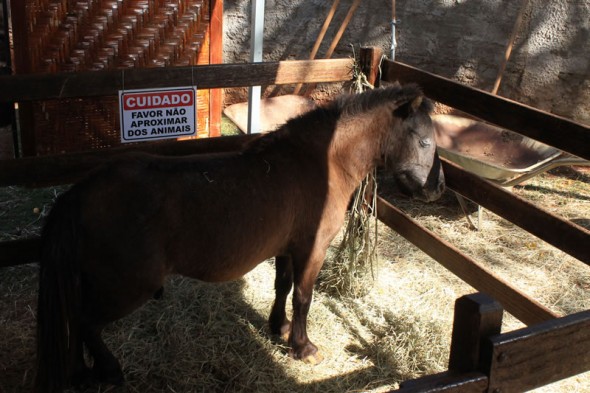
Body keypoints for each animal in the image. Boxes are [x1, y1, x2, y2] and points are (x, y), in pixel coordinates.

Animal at [35, 84, 444, 390]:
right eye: (425, 142)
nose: (436, 190)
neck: (320, 162)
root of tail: (78, 194)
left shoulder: (286, 248)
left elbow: (282, 288)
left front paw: (278, 328)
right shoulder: (311, 249)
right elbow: (303, 297)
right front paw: (303, 347)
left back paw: (83, 373)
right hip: (127, 287)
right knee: (87, 323)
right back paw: (110, 371)